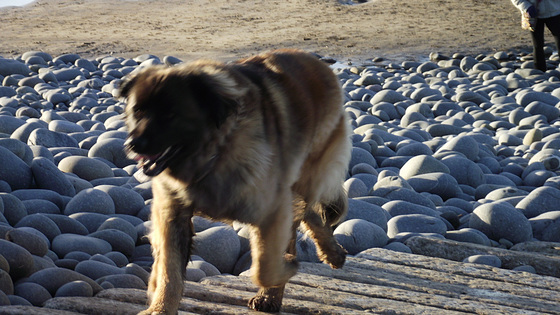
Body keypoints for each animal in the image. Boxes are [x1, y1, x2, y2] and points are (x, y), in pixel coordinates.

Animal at [119, 48, 350, 314]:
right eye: (137, 112)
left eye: (170, 115)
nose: (132, 144)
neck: (214, 156)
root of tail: (314, 60)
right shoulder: (172, 214)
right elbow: (170, 269)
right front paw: (161, 307)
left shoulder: (272, 211)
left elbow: (264, 267)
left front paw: (284, 270)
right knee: (308, 213)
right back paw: (330, 254)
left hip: (306, 175)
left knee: (303, 217)